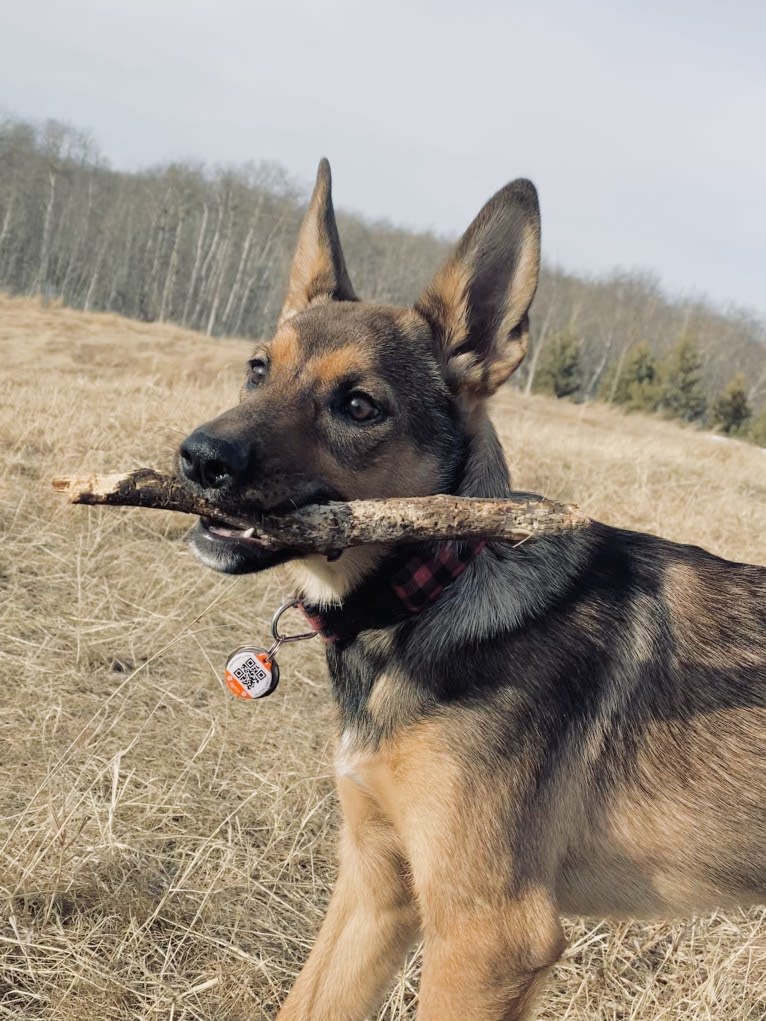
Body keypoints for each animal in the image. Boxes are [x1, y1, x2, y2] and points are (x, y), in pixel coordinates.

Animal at [178, 163, 766, 1016]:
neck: (433, 593)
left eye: (359, 405)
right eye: (258, 368)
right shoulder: (377, 887)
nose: (199, 459)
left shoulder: (489, 936)